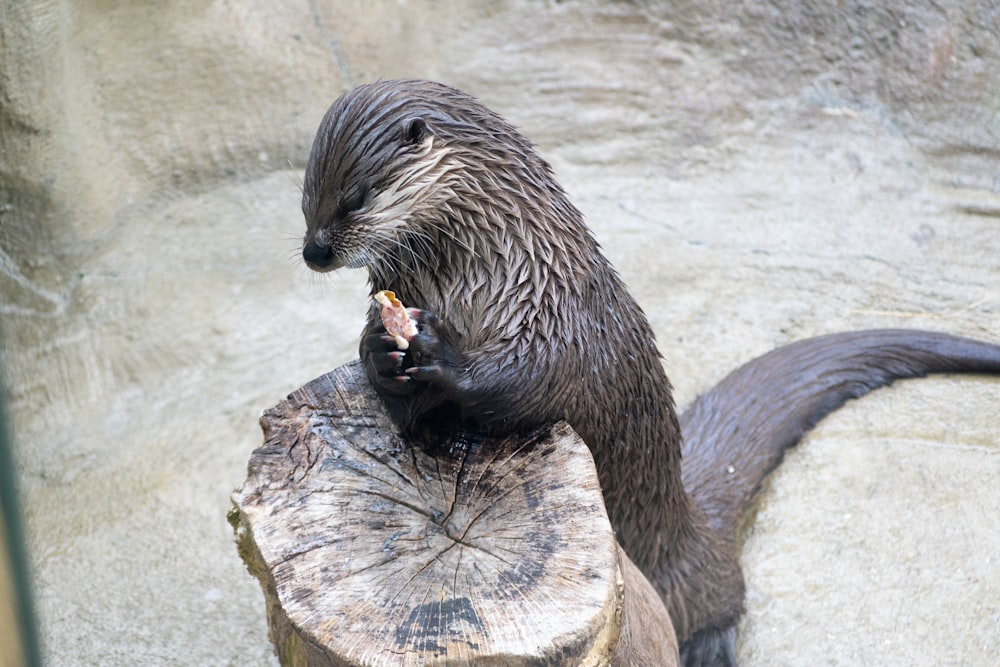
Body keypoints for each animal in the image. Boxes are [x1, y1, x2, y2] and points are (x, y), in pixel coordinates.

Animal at [300, 79, 1000, 667]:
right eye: (307, 199)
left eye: (355, 197)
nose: (314, 251)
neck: (487, 268)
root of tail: (693, 513)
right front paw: (382, 352)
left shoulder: (555, 311)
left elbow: (529, 378)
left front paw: (438, 357)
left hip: (680, 582)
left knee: (725, 600)